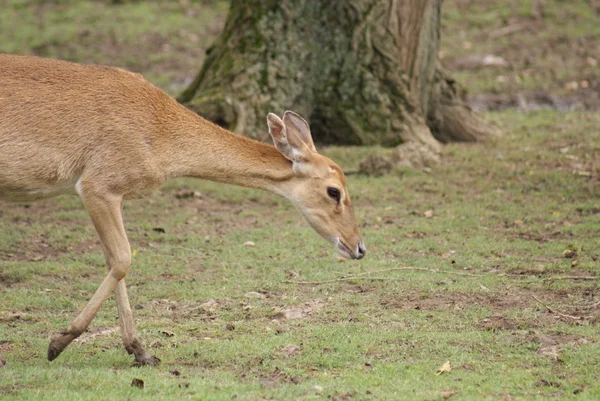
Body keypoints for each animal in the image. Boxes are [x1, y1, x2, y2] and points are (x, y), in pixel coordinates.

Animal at [0, 54, 366, 366]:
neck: (162, 139)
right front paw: (57, 343)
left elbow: (113, 260)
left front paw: (142, 352)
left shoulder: (110, 193)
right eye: (334, 191)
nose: (359, 247)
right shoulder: (97, 184)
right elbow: (123, 258)